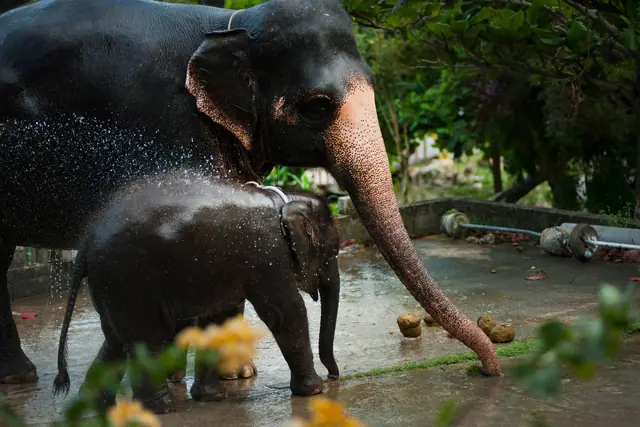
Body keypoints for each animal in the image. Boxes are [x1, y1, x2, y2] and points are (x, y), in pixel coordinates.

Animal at [52, 171, 341, 414]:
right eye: (332, 254)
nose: (334, 376)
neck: (283, 200)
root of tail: (86, 244)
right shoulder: (269, 256)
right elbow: (285, 312)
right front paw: (314, 391)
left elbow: (218, 319)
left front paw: (211, 397)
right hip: (131, 279)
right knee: (147, 339)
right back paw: (163, 408)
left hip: (113, 286)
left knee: (115, 341)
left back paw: (98, 407)